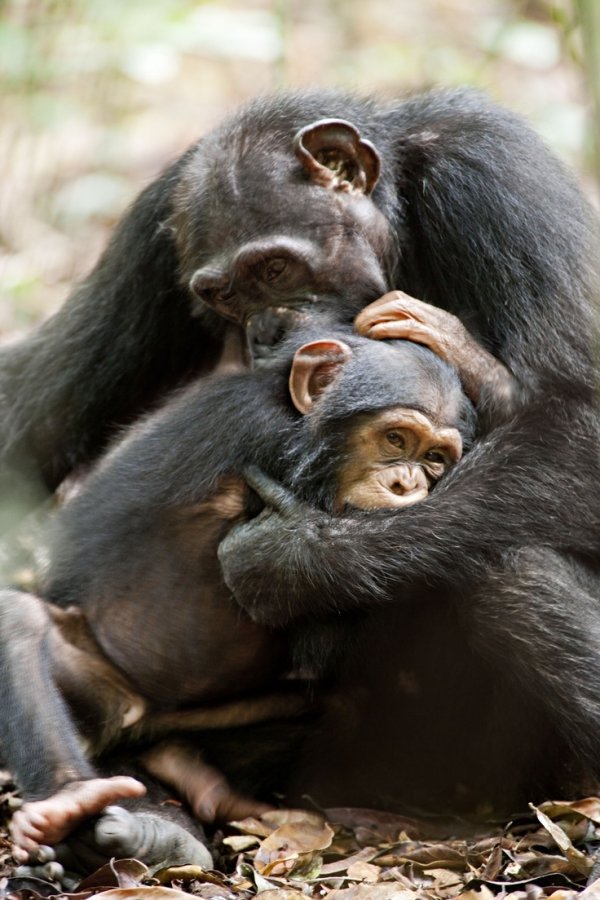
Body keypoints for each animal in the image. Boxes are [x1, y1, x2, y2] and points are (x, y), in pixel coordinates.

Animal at [2, 326, 476, 868]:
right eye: (396, 439)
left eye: (434, 459)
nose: (406, 482)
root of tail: (140, 719)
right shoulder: (267, 444)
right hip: (99, 690)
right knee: (16, 619)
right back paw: (70, 801)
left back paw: (199, 779)